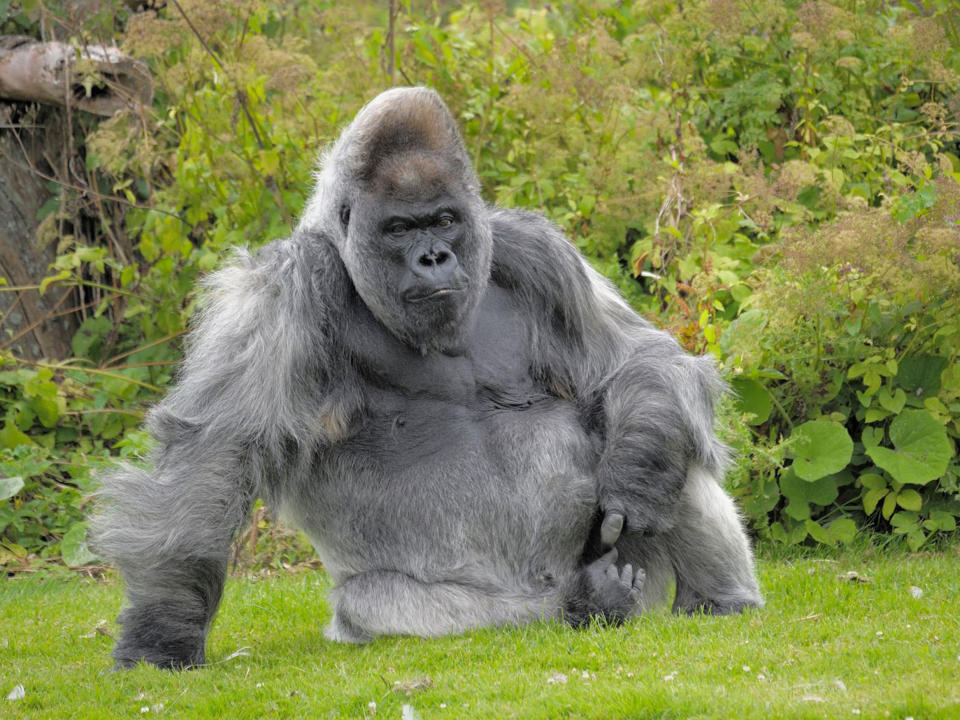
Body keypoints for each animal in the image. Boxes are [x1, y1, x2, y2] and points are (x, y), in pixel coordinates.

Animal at [94, 86, 760, 668]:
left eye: (442, 220)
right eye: (399, 228)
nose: (434, 257)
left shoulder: (536, 250)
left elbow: (638, 361)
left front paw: (638, 470)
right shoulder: (285, 286)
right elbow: (216, 451)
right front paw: (164, 633)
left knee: (664, 427)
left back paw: (717, 597)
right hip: (423, 610)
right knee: (408, 607)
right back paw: (589, 602)